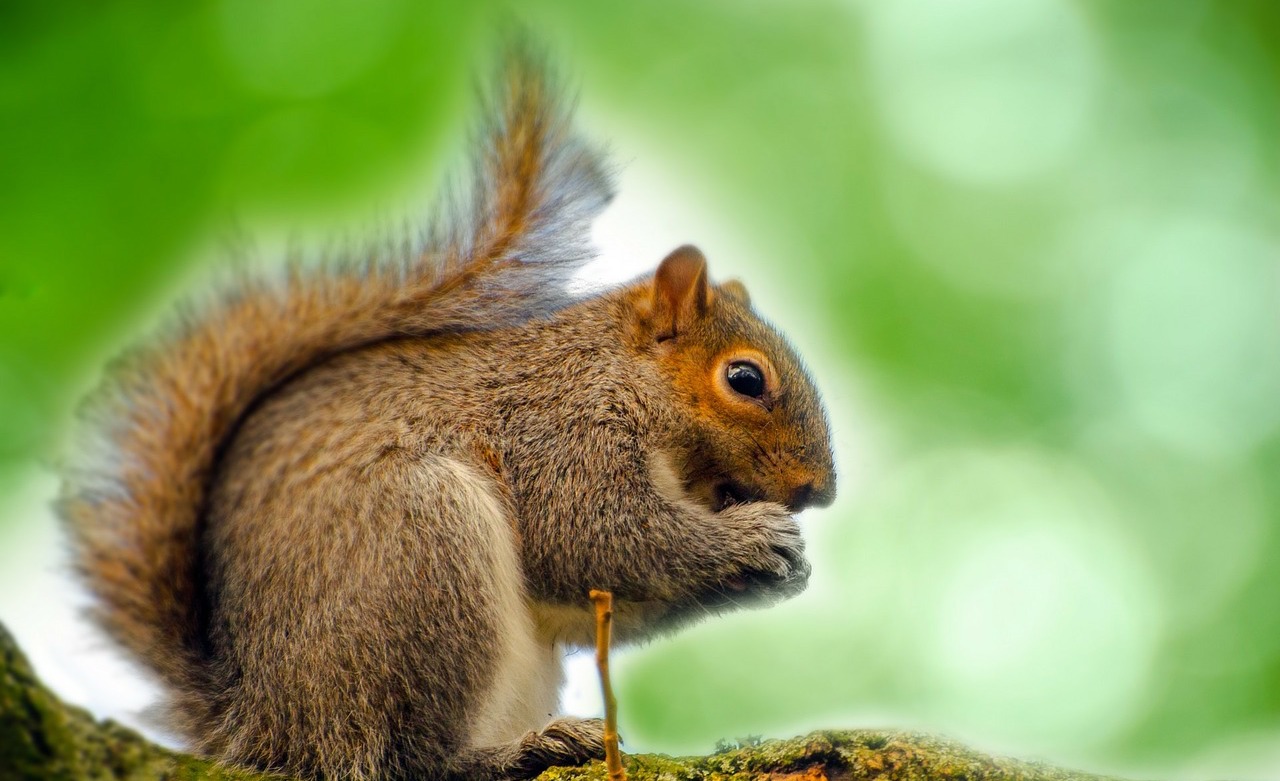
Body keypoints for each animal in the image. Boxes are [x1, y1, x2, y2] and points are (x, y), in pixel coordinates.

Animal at [57, 42, 839, 778]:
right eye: (744, 378)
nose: (819, 492)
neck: (620, 378)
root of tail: (264, 728)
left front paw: (785, 565)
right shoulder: (560, 433)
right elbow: (599, 536)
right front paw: (754, 539)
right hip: (421, 555)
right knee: (406, 756)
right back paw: (515, 751)